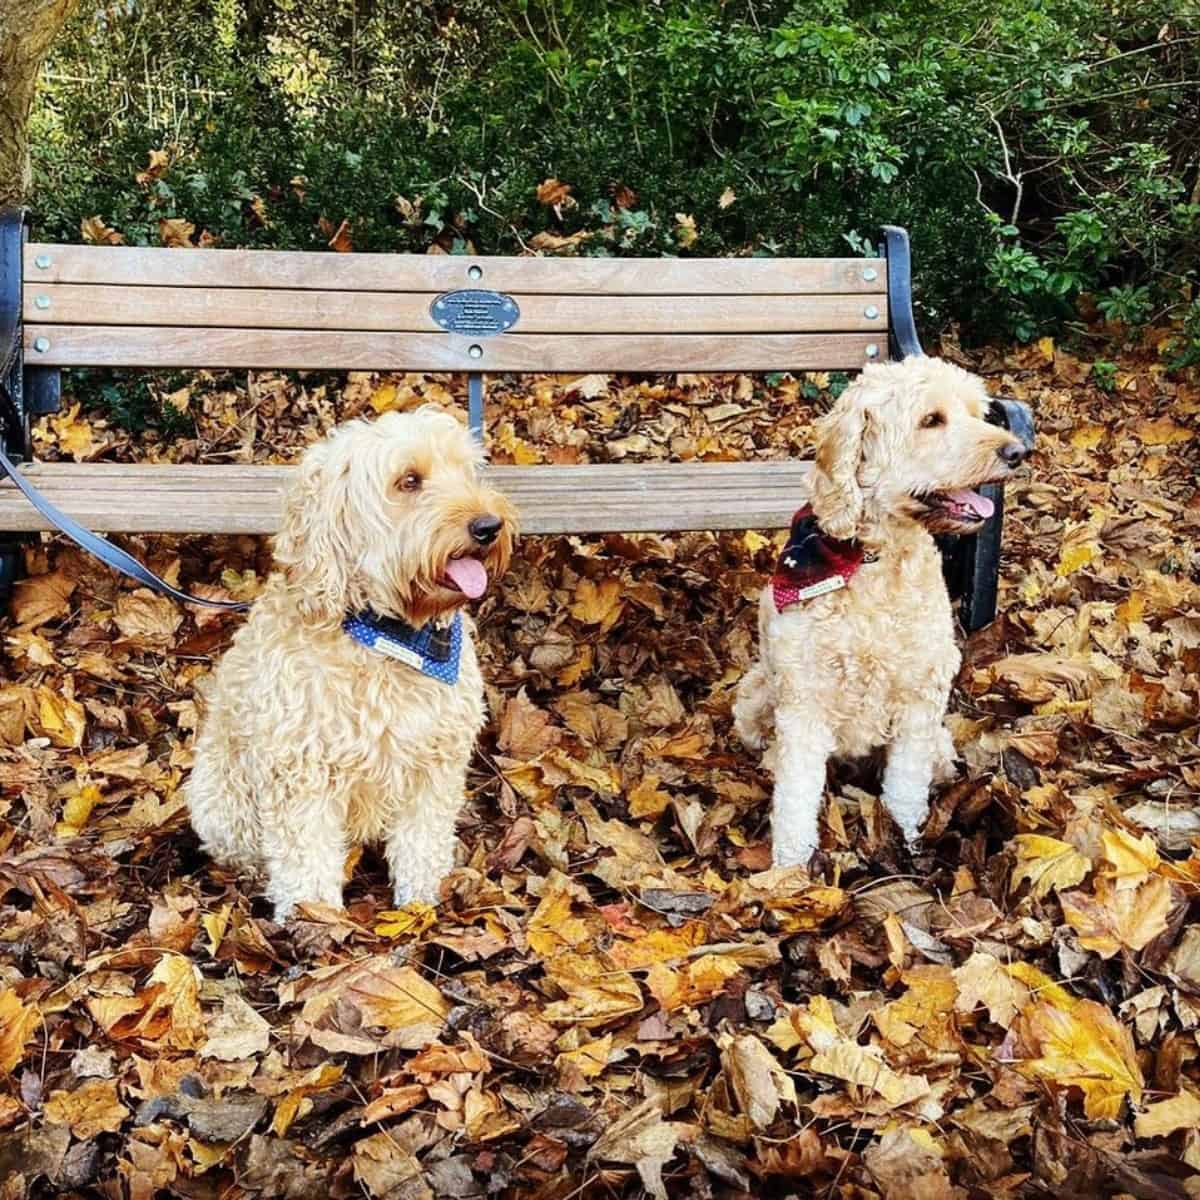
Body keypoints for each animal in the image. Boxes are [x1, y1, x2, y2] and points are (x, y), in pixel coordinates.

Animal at [184, 405, 513, 916]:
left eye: (467, 471)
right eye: (409, 480)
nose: (488, 526)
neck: (392, 638)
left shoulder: (434, 762)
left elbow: (422, 841)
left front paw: (422, 905)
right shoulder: (302, 772)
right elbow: (307, 859)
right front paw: (313, 919)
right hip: (219, 800)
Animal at [734, 352, 1027, 864]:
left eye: (978, 412)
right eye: (931, 420)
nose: (1016, 453)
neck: (876, 559)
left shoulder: (921, 696)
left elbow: (906, 786)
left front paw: (906, 840)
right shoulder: (804, 702)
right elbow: (795, 798)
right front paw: (789, 869)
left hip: (939, 742)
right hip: (756, 698)